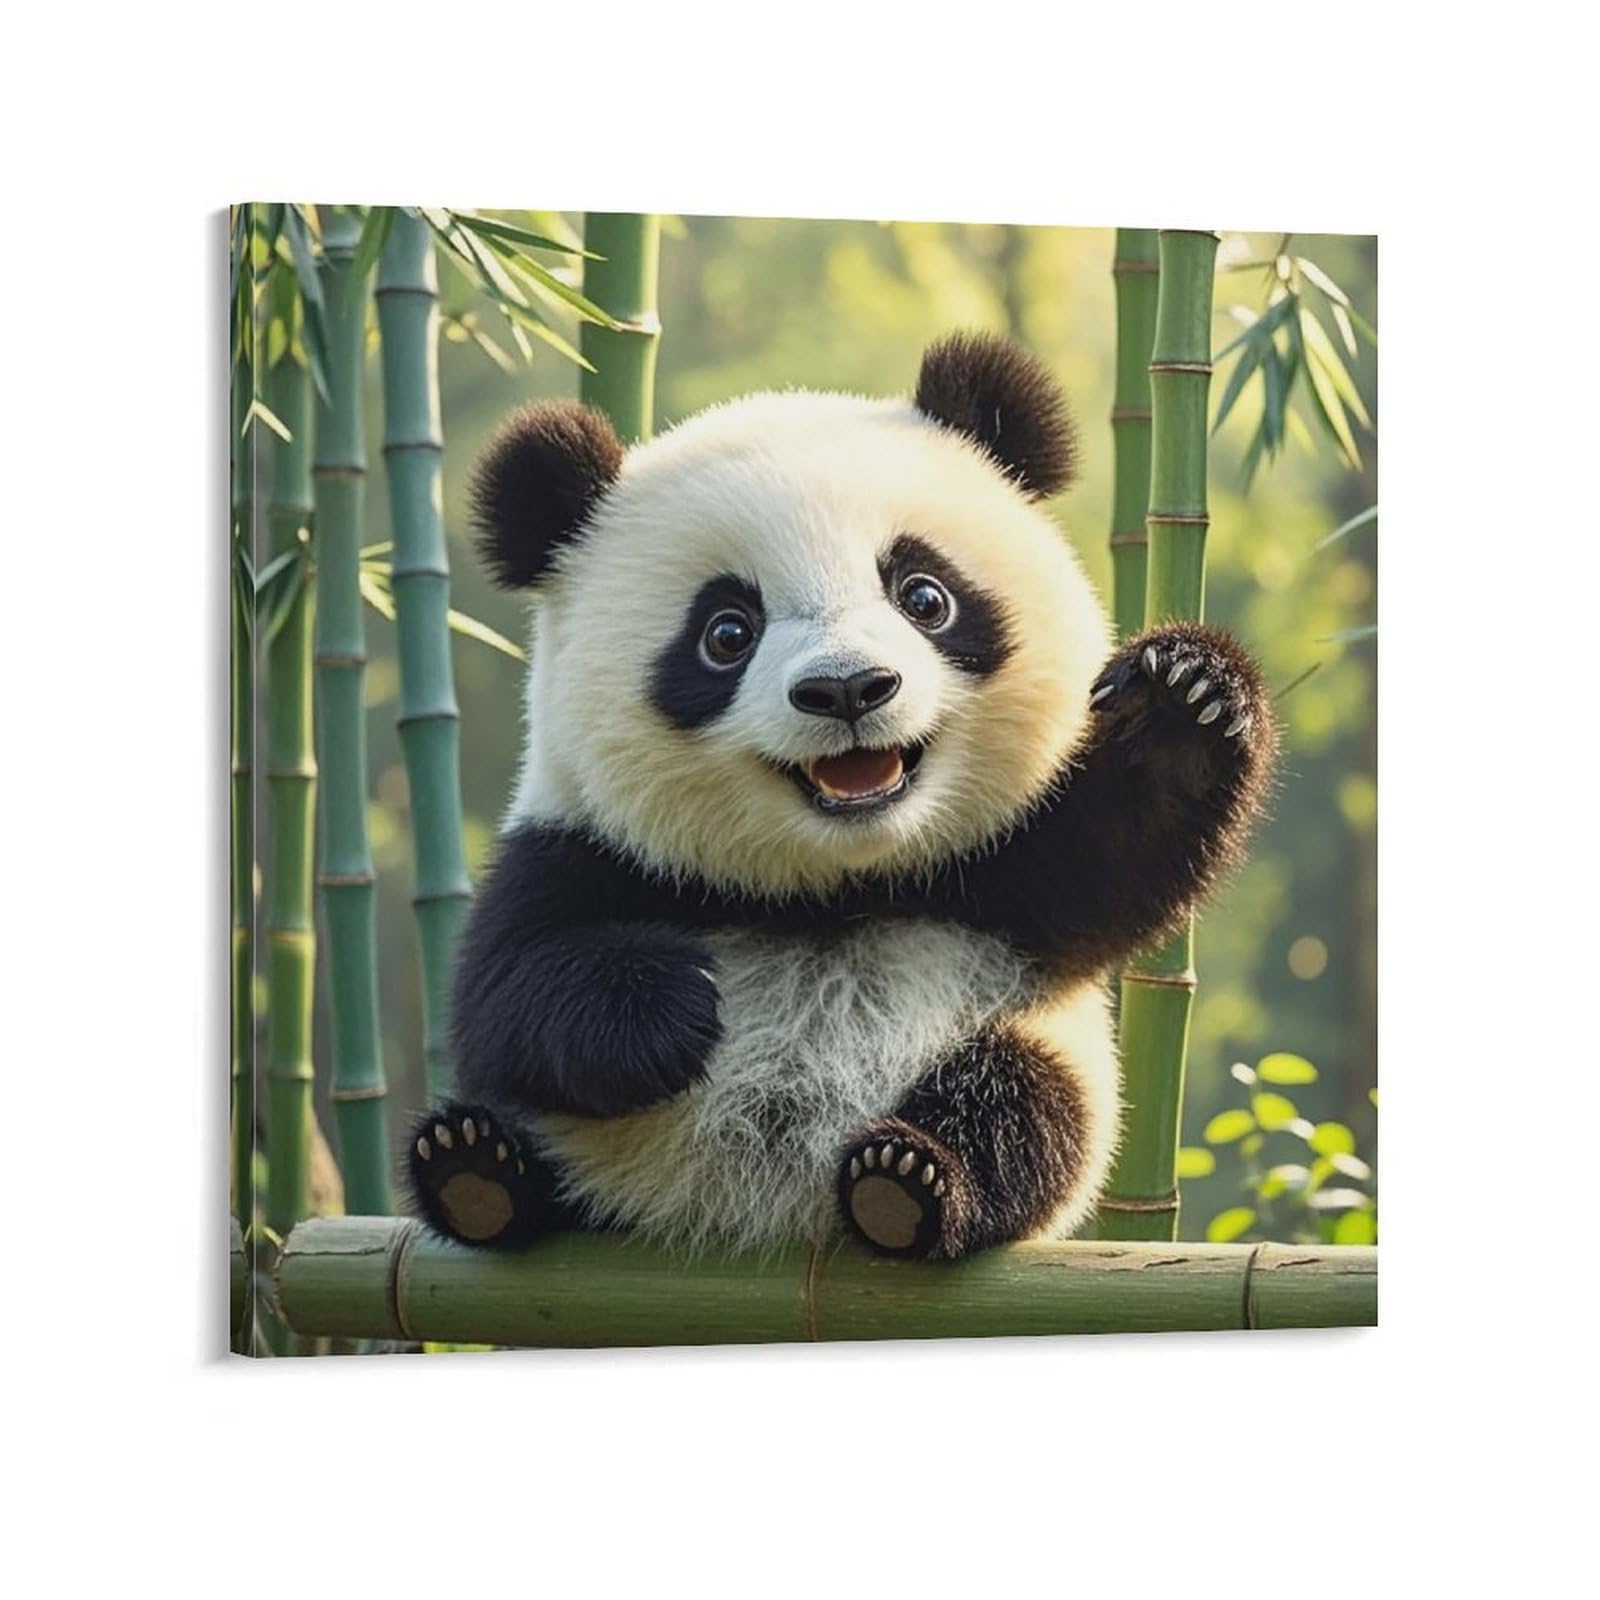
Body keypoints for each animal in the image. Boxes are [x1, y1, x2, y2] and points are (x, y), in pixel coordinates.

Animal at [406, 332, 1275, 1261]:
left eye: (925, 595)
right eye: (726, 633)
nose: (850, 688)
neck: (836, 884)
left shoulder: (1013, 859)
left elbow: (1125, 848)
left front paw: (1186, 692)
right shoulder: (579, 846)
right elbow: (500, 992)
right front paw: (672, 1004)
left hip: (1022, 1043)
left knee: (1023, 1104)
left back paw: (908, 1180)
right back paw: (477, 1172)